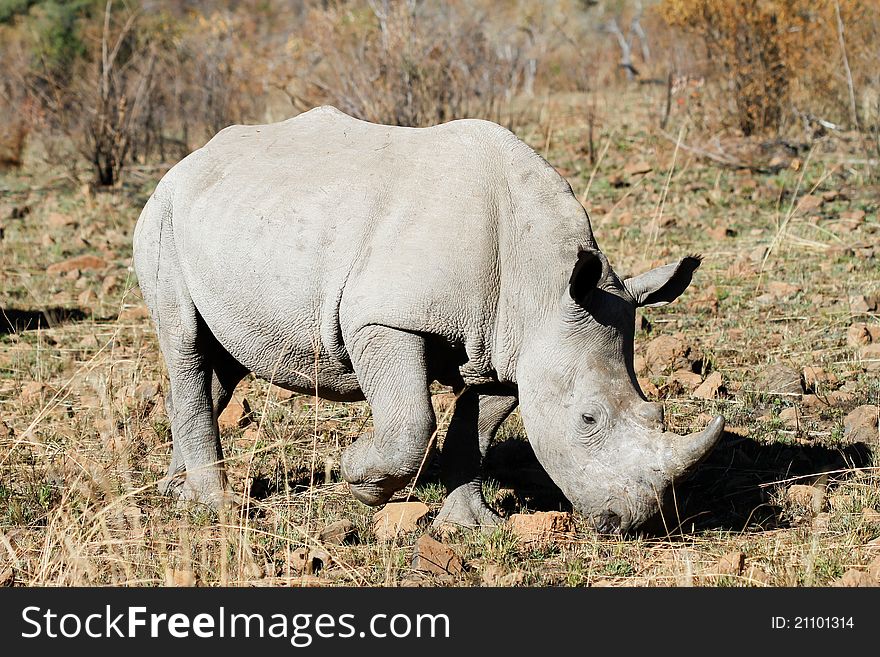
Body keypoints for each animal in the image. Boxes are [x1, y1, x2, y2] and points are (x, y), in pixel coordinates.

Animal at [131, 106, 720, 532]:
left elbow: (475, 431)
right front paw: (359, 479)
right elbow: (413, 423)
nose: (631, 521)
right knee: (185, 342)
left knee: (219, 365)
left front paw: (470, 526)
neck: (543, 287)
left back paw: (174, 492)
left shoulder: (508, 347)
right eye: (588, 419)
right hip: (162, 217)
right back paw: (217, 509)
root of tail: (186, 161)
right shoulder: (384, 320)